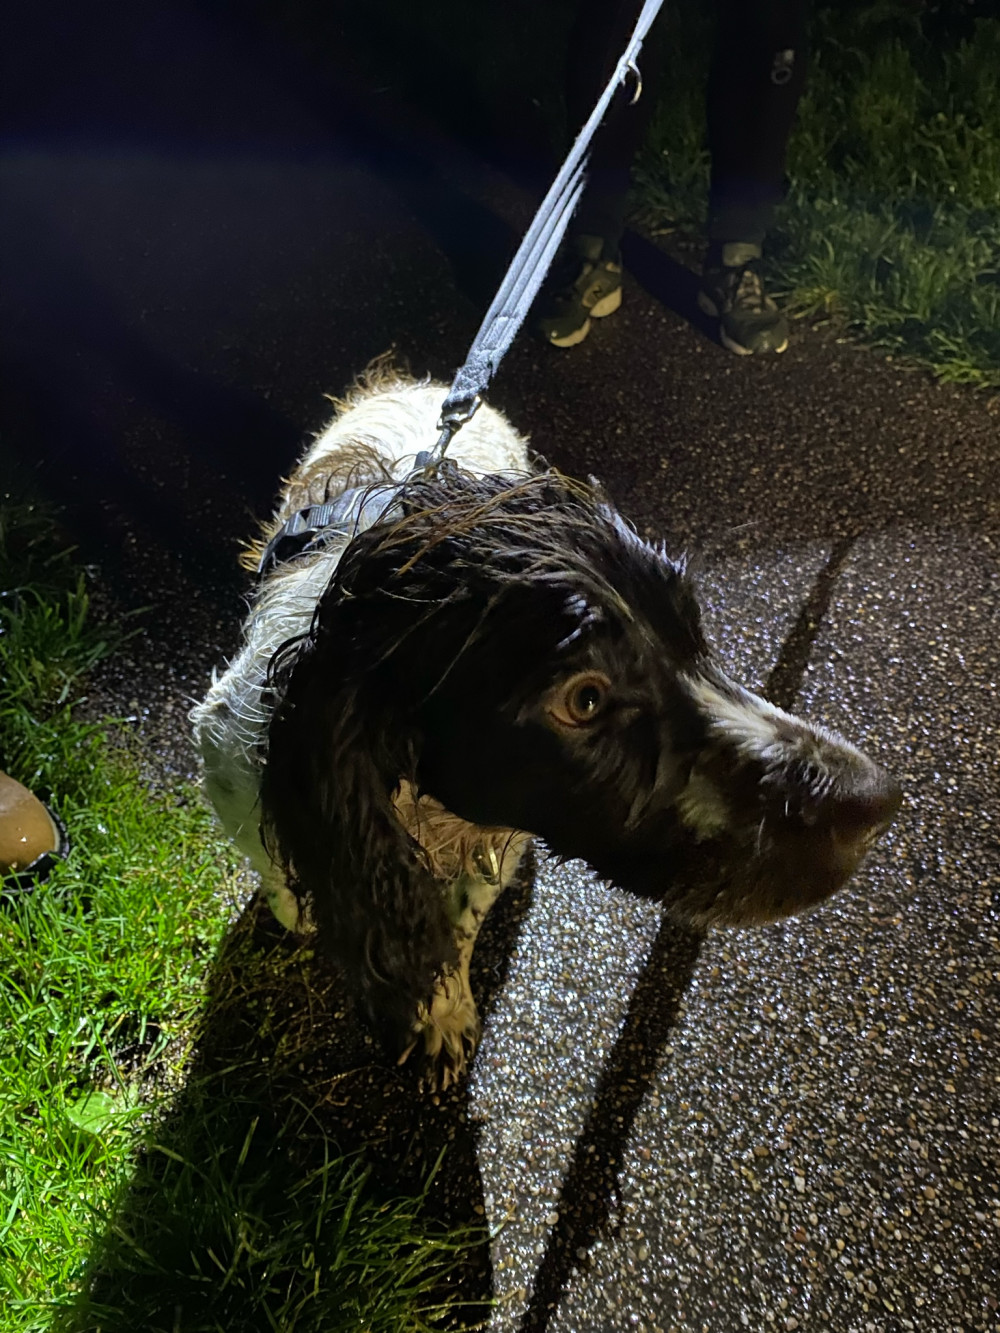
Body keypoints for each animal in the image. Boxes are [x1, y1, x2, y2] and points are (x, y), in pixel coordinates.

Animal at [192, 365, 906, 1082]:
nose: (879, 803)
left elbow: (462, 915)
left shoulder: (498, 838)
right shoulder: (233, 758)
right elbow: (275, 867)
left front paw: (443, 1008)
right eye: (584, 700)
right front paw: (300, 911)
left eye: (692, 629)